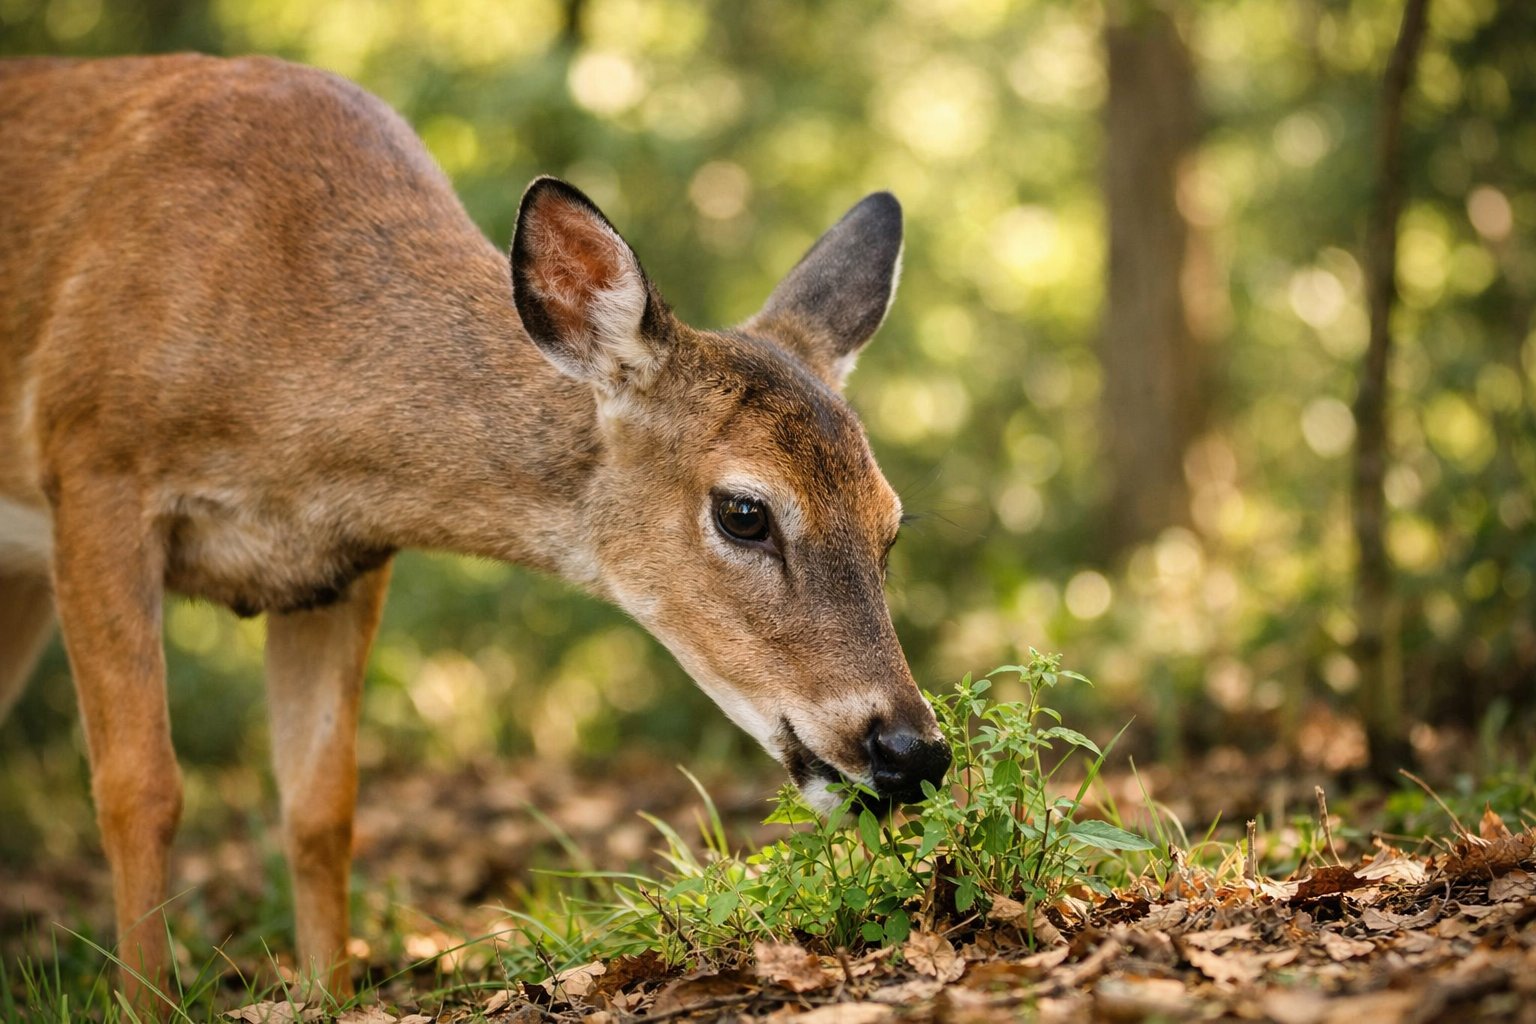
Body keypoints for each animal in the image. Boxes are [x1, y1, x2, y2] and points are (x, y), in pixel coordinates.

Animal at [0, 54, 952, 1012]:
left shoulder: (339, 563)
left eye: (890, 526)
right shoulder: (92, 469)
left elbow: (321, 806)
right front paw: (144, 1003)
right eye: (744, 512)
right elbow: (140, 789)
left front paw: (332, 997)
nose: (911, 750)